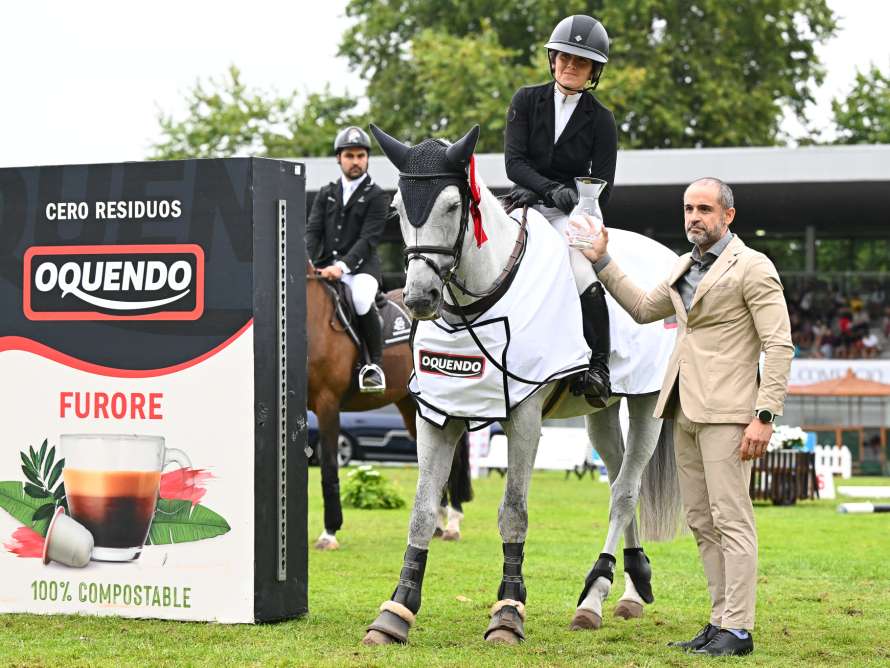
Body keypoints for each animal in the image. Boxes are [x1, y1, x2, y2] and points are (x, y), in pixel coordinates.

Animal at [306, 260, 472, 548]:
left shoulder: (328, 404)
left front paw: (329, 532)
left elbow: (328, 466)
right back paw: (436, 525)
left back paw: (452, 523)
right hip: (411, 405)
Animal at [360, 125, 680, 648]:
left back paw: (595, 597)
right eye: (398, 209)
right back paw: (633, 587)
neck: (478, 305)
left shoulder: (524, 415)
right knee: (616, 476)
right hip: (601, 412)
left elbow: (513, 511)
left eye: (454, 205)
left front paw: (508, 612)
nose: (419, 299)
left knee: (625, 492)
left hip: (647, 402)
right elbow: (423, 511)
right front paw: (395, 613)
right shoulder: (437, 416)